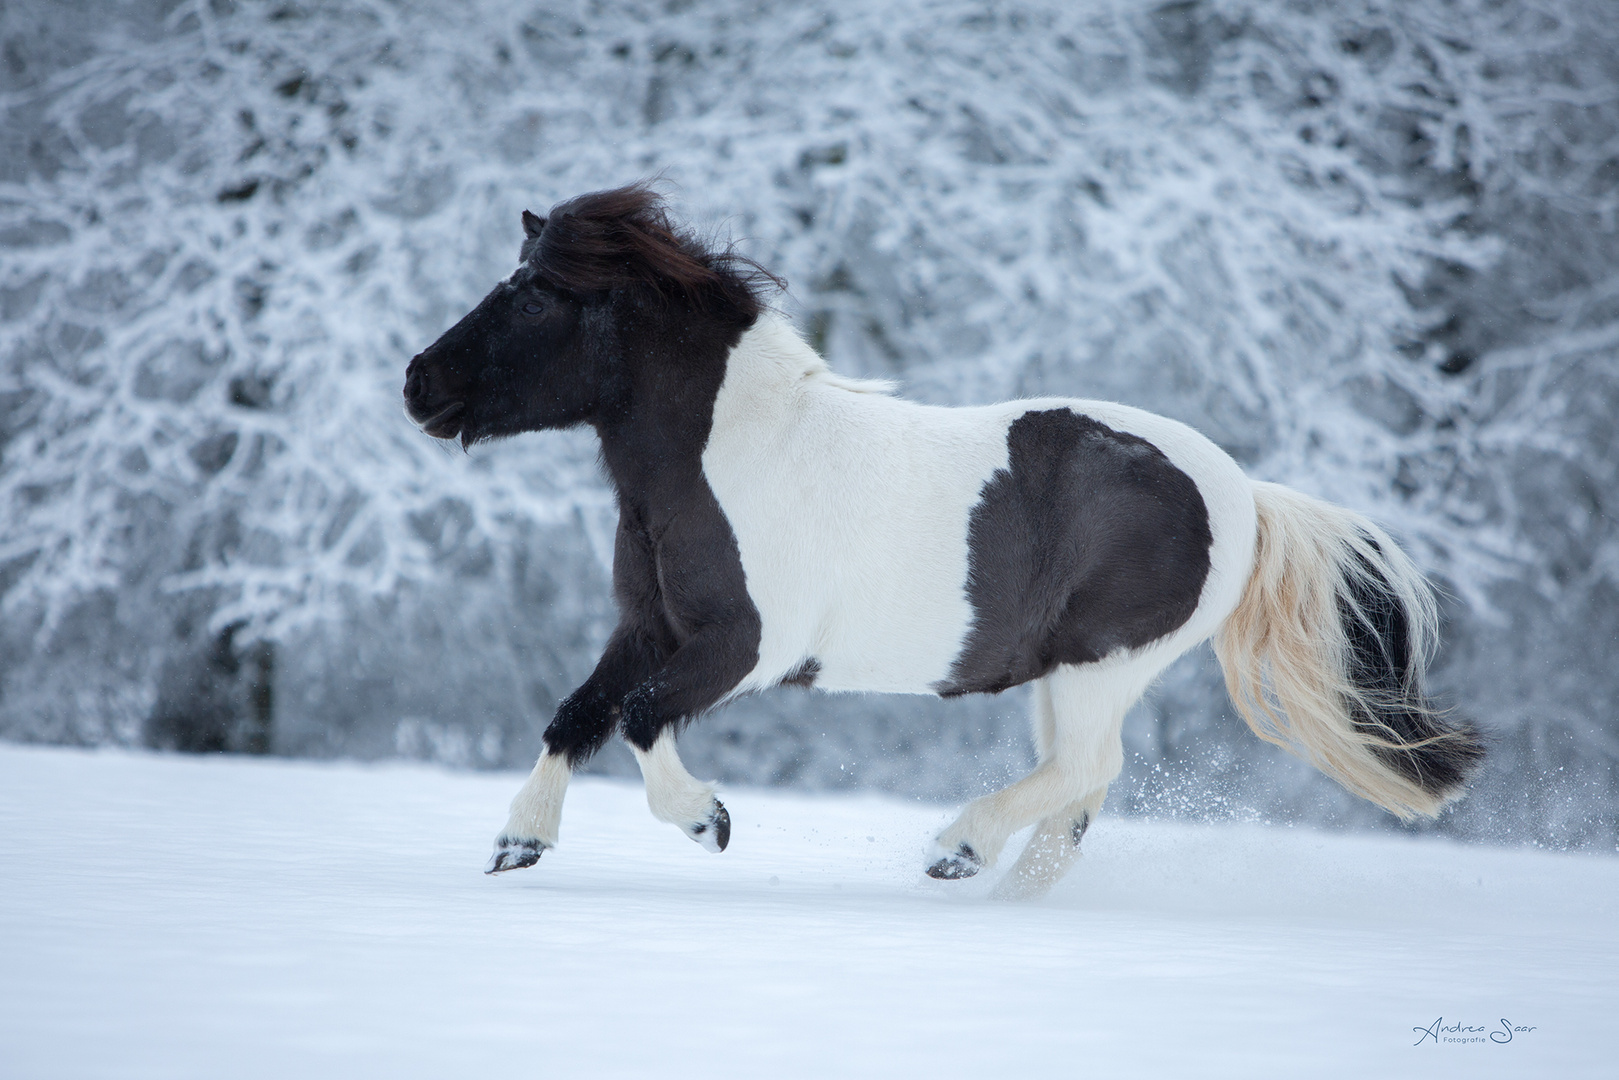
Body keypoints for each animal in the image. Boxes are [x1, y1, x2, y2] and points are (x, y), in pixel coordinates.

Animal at [401, 183, 1483, 893]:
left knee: (1086, 772)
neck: (727, 452)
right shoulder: (646, 626)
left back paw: (954, 850)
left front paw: (707, 820)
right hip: (1066, 675)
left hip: (1102, 664)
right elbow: (575, 715)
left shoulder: (746, 645)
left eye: (532, 295)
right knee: (1075, 794)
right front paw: (517, 844)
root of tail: (1245, 496)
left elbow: (635, 719)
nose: (416, 383)